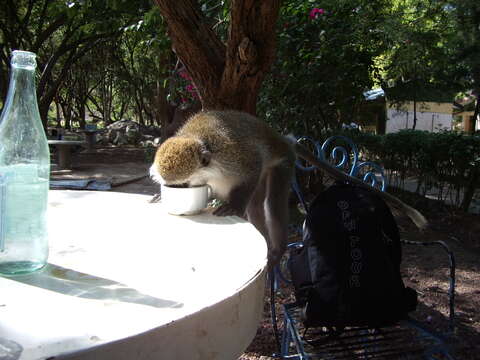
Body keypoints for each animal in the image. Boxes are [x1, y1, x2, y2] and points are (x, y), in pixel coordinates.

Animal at [151, 111, 428, 266]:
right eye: (172, 185)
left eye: (183, 185)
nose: (175, 189)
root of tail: (283, 140)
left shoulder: (234, 156)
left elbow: (251, 169)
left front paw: (233, 205)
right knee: (258, 206)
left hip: (283, 163)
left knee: (271, 203)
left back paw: (278, 248)